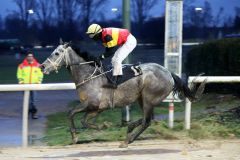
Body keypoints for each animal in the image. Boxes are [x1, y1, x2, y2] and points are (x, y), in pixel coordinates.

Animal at [40, 41, 204, 148]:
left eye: (56, 53)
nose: (42, 67)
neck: (89, 75)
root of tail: (168, 72)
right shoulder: (97, 108)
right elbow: (83, 120)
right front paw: (102, 126)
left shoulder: (92, 104)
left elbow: (71, 113)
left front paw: (75, 136)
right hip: (142, 99)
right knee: (148, 118)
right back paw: (130, 129)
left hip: (148, 98)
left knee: (147, 121)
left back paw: (127, 139)